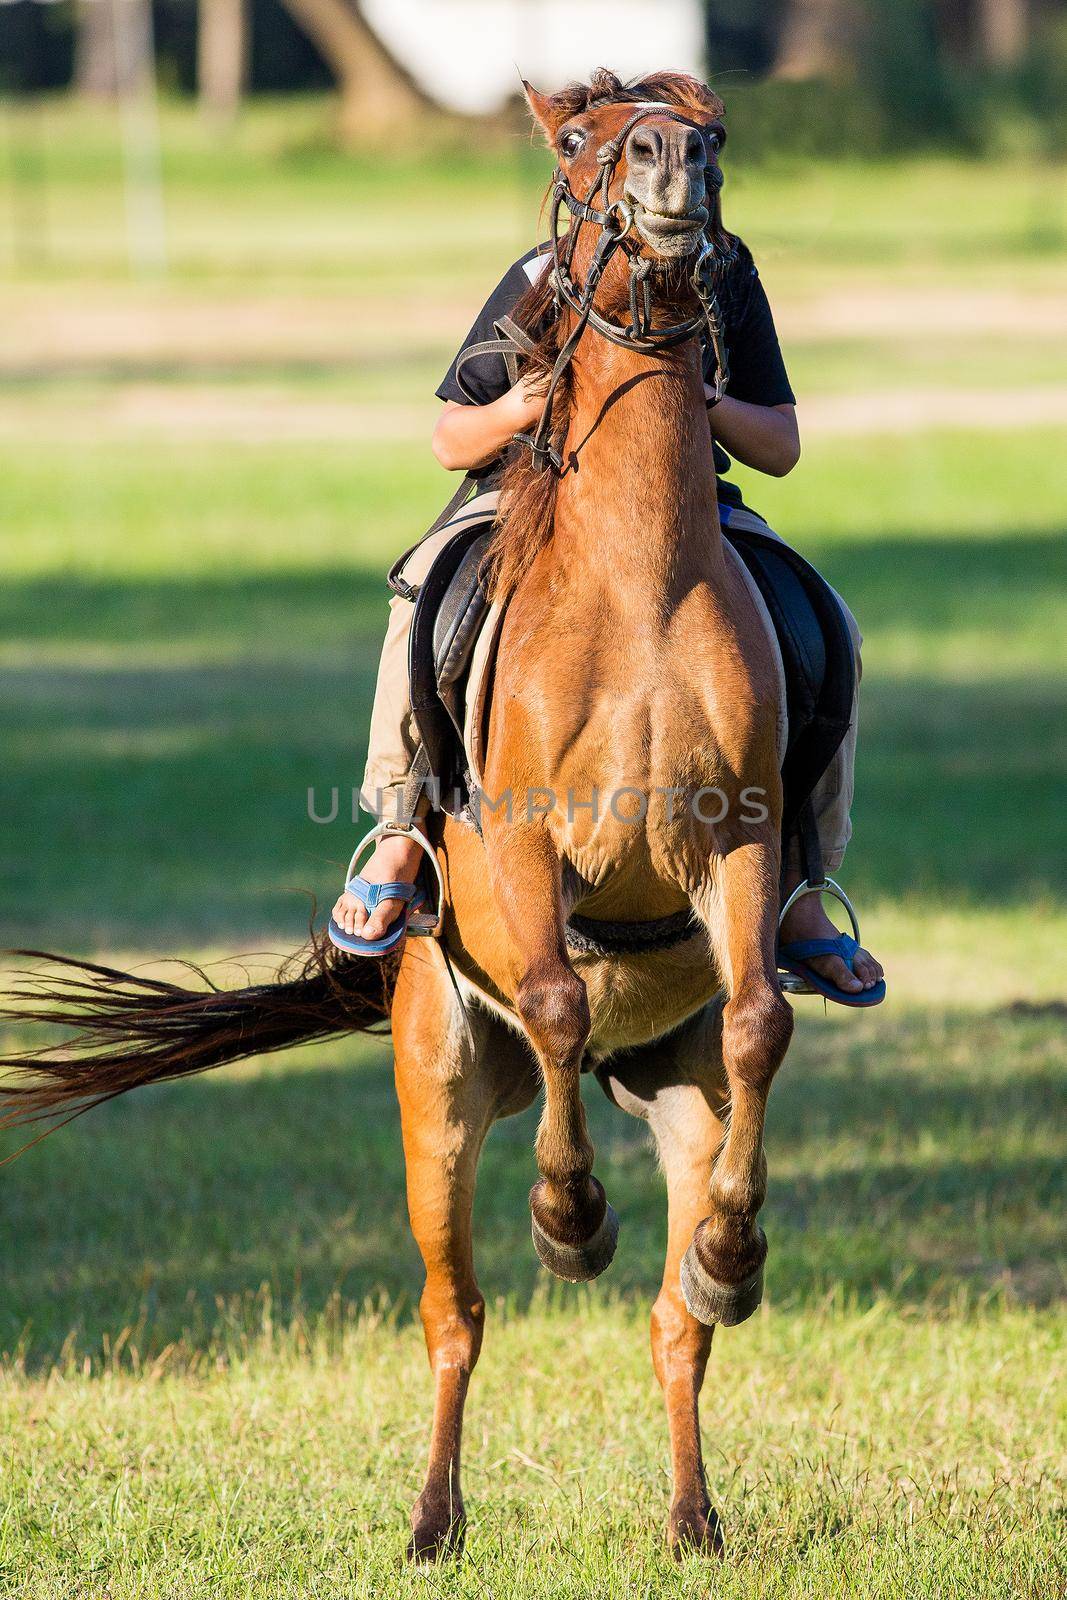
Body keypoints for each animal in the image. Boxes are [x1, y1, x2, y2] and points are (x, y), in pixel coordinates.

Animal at [2, 75, 793, 1561]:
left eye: (706, 131)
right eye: (580, 142)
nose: (672, 157)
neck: (638, 581)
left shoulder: (738, 839)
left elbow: (761, 1019)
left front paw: (730, 1247)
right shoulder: (529, 849)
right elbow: (554, 997)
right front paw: (567, 1216)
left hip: (675, 1091)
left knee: (676, 1324)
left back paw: (693, 1507)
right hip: (436, 1088)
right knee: (453, 1314)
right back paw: (433, 1518)